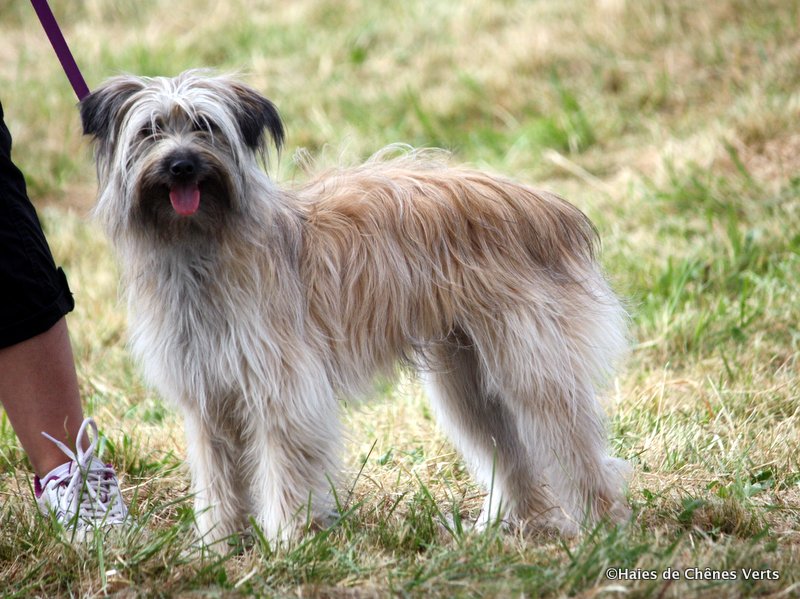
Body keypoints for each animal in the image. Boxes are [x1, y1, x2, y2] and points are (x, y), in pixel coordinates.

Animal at [81, 70, 632, 548]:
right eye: (150, 131)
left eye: (205, 126)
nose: (182, 166)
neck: (199, 245)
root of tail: (546, 207)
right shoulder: (208, 399)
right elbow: (217, 482)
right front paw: (216, 546)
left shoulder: (283, 392)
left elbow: (285, 470)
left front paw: (287, 545)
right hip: (469, 380)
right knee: (511, 454)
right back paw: (510, 526)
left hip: (530, 365)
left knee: (573, 448)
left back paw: (601, 528)